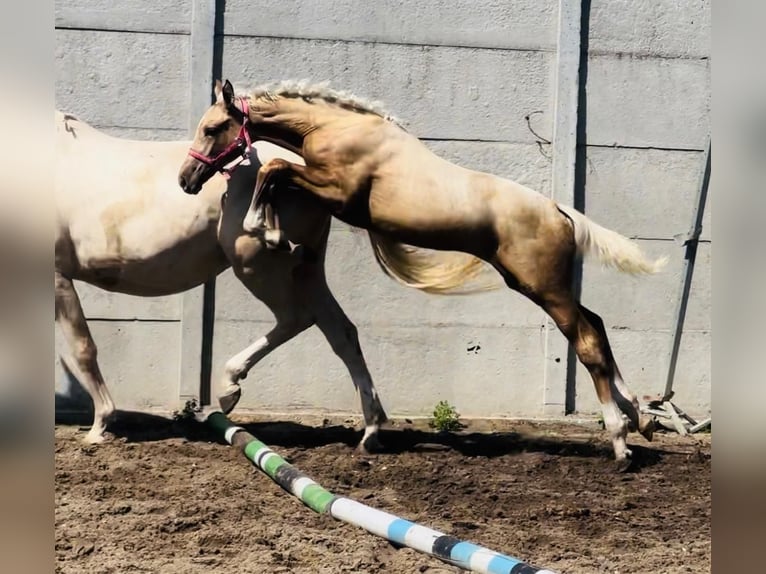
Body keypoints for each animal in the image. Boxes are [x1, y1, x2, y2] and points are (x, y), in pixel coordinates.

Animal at [180, 80, 672, 468]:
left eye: (212, 128)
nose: (187, 179)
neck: (337, 129)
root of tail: (561, 213)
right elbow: (276, 171)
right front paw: (273, 232)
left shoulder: (338, 193)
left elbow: (275, 168)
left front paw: (266, 231)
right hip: (543, 286)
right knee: (599, 327)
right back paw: (641, 418)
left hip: (546, 290)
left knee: (587, 342)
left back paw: (621, 444)